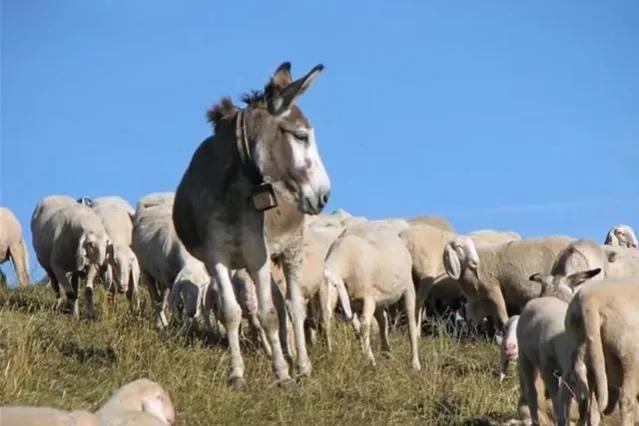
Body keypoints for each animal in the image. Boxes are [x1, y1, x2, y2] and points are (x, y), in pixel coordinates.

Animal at [322, 226, 422, 370]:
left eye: (334, 285)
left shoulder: (368, 298)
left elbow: (364, 327)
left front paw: (370, 360)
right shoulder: (352, 302)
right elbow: (356, 328)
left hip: (408, 288)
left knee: (411, 324)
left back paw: (415, 363)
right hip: (379, 300)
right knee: (383, 323)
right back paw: (387, 353)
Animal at [440, 236, 576, 330]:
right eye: (459, 247)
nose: (475, 262)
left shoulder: (492, 287)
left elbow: (502, 314)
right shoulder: (476, 299)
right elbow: (474, 320)